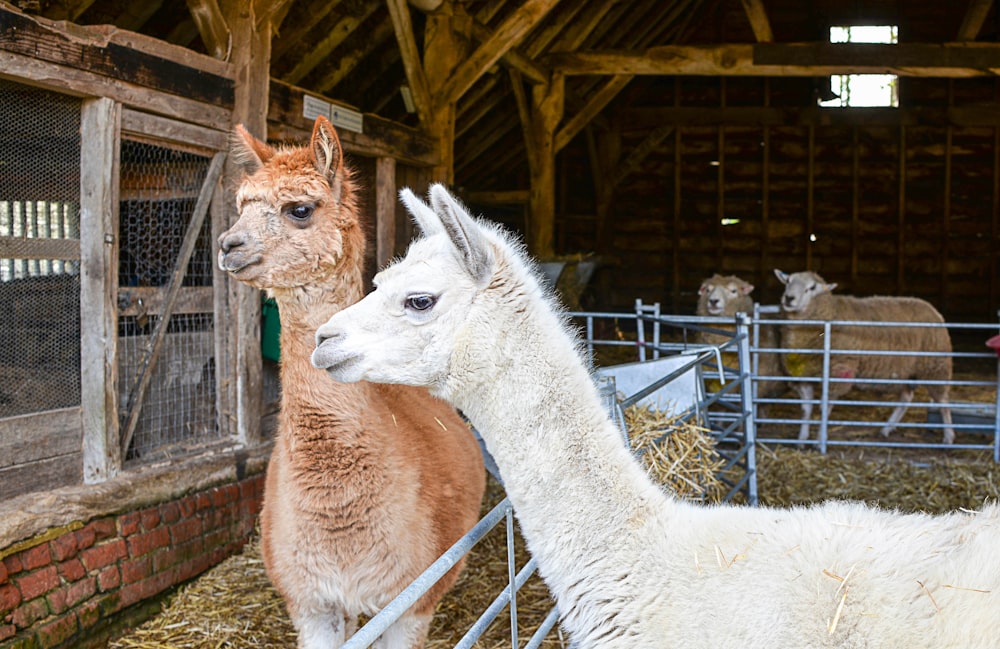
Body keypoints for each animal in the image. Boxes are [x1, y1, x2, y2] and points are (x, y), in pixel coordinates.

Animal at [768, 270, 956, 446]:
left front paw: (820, 440)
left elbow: (824, 409)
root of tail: (932, 309)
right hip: (907, 371)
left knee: (943, 401)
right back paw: (886, 429)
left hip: (936, 366)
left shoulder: (839, 372)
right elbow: (805, 410)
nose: (789, 298)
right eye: (788, 281)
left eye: (812, 287)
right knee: (906, 398)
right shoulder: (804, 376)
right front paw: (801, 439)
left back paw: (948, 436)